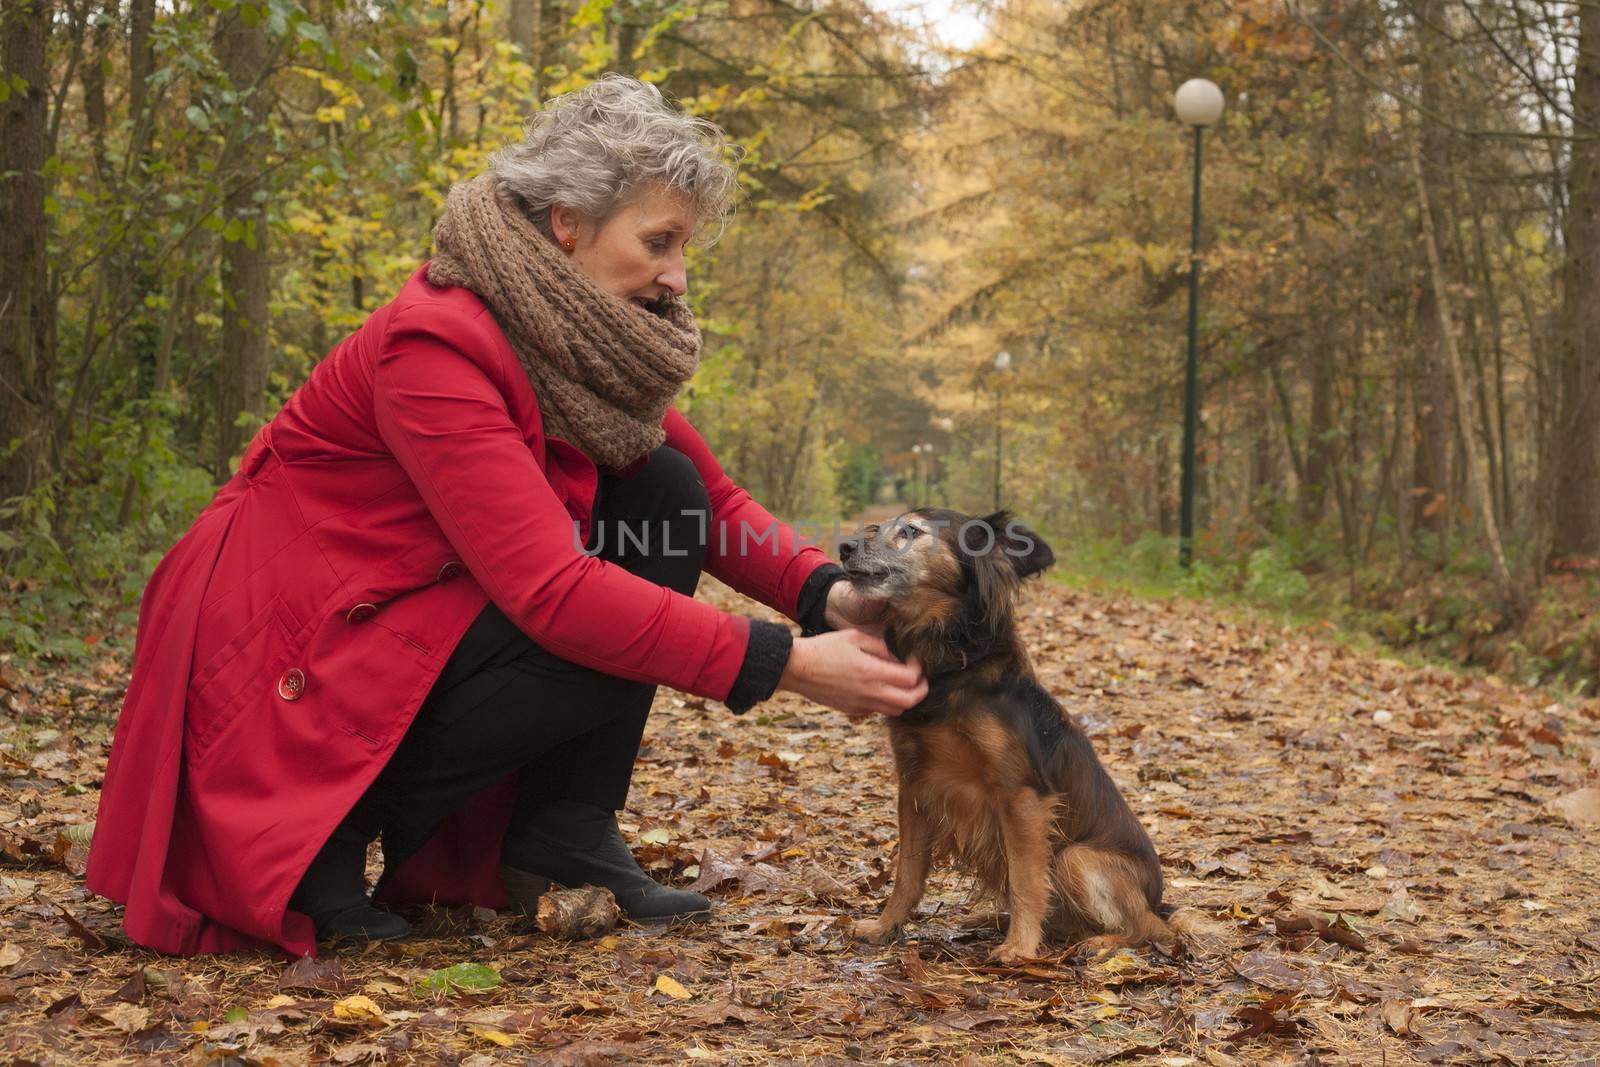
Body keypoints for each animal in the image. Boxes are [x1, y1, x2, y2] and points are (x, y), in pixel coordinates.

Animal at [844, 508, 1171, 959]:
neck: (951, 667)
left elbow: (1026, 882)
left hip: (1078, 858)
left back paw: (1101, 942)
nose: (843, 547)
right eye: (878, 526)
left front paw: (1018, 948)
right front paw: (884, 926)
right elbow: (906, 874)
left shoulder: (1021, 797)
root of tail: (1158, 900)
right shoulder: (914, 788)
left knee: (1151, 929)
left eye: (910, 531)